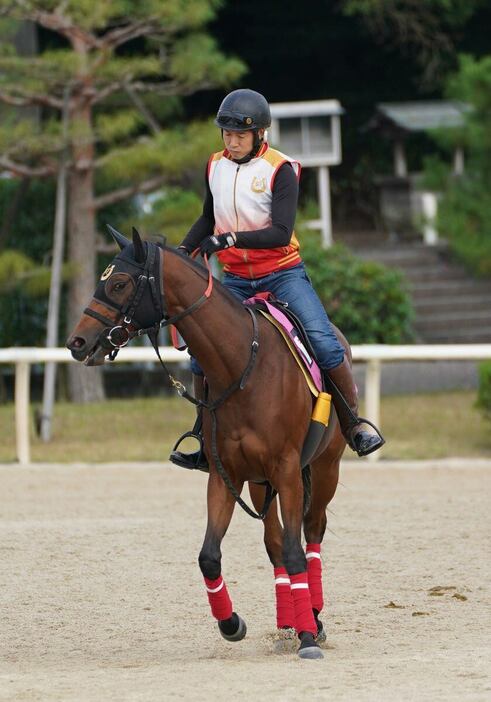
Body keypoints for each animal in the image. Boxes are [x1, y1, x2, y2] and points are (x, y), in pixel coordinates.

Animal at [67, 228, 348, 664]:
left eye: (119, 283)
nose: (77, 341)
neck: (243, 365)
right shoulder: (224, 475)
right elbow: (209, 556)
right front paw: (232, 624)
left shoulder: (287, 469)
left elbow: (296, 550)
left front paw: (307, 638)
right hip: (261, 483)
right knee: (273, 544)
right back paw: (288, 623)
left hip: (323, 468)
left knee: (312, 532)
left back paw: (312, 618)